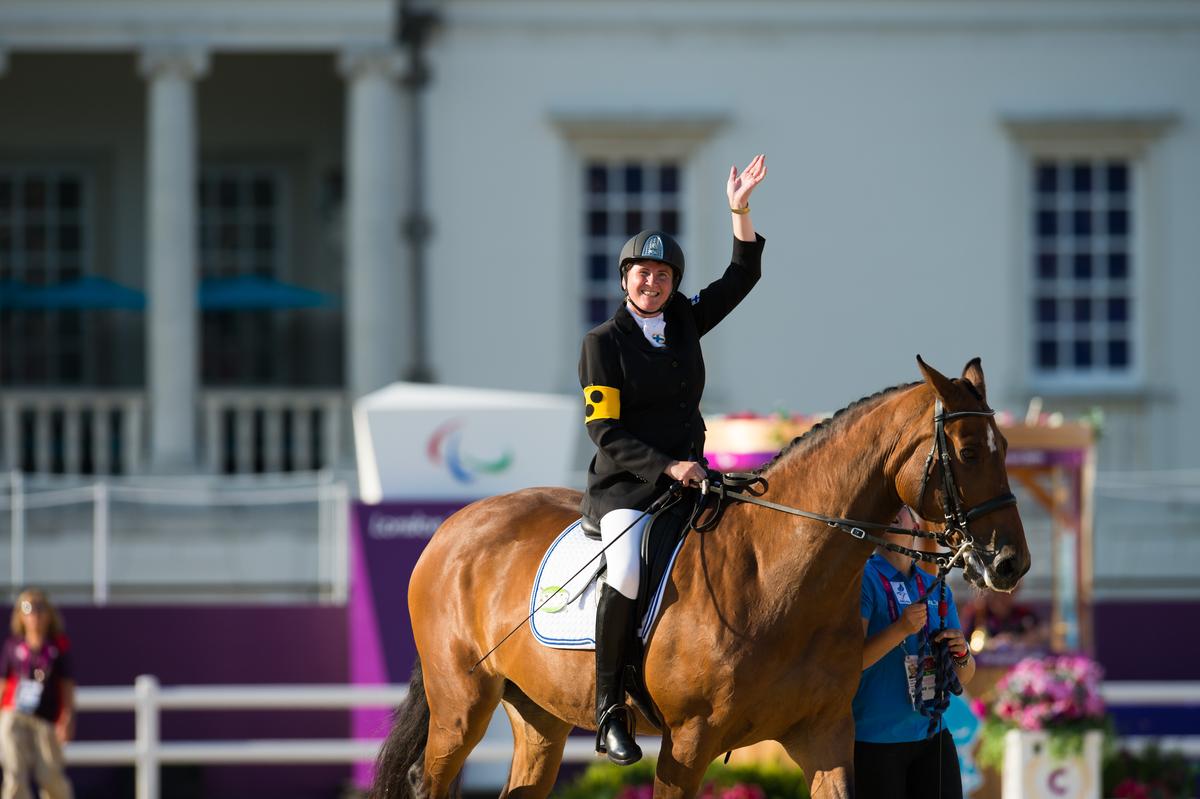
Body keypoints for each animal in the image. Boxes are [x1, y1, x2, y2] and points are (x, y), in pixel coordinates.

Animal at [369, 355, 1027, 796]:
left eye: (1004, 446)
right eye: (969, 452)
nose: (1010, 562)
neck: (778, 579)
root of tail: (455, 527)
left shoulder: (825, 737)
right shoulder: (686, 745)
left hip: (539, 717)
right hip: (461, 706)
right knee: (429, 779)